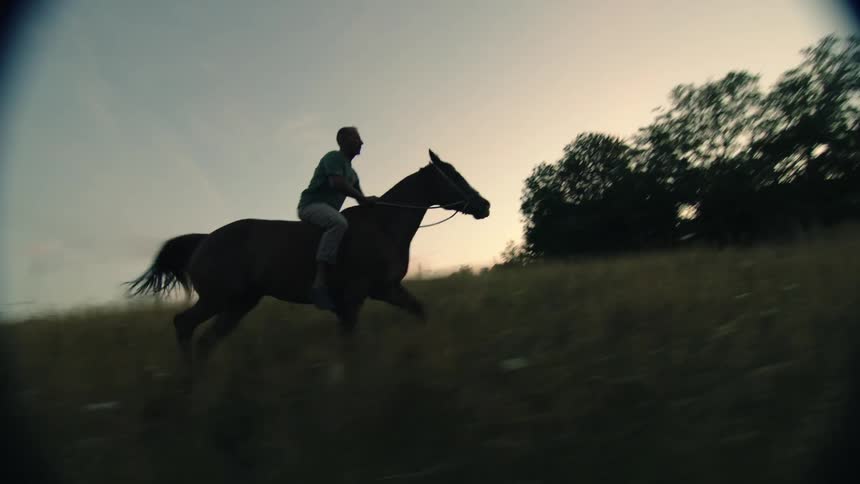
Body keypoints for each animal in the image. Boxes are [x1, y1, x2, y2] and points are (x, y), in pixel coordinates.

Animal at [126, 149, 490, 368]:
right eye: (453, 175)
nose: (484, 205)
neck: (383, 225)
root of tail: (204, 240)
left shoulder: (386, 290)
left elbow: (419, 311)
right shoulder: (354, 297)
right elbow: (350, 343)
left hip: (239, 303)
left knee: (205, 339)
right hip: (219, 298)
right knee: (183, 325)